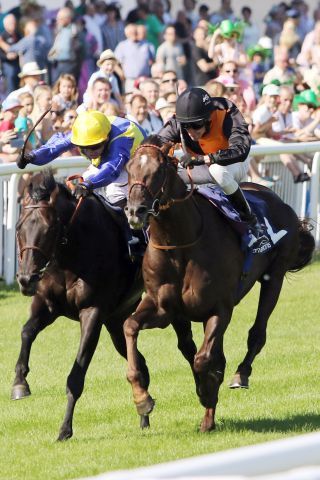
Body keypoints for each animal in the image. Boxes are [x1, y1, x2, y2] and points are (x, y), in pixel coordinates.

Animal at [14, 168, 150, 438]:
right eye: (19, 226)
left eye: (49, 228)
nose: (25, 279)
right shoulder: (47, 303)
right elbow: (26, 332)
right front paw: (19, 384)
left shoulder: (92, 312)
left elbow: (76, 376)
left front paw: (64, 429)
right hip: (117, 319)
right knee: (139, 361)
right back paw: (144, 414)